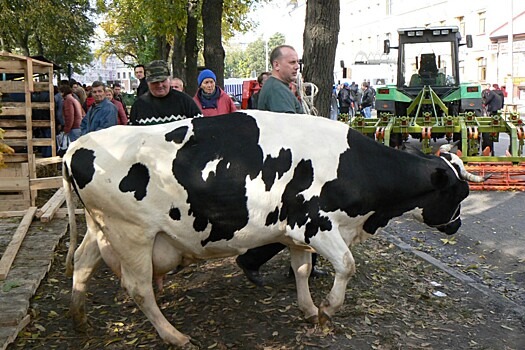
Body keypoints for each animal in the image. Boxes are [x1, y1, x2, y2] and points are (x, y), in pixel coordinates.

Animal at [63, 111, 486, 348]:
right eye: (459, 191)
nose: (456, 225)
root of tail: (77, 145)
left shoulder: (295, 230)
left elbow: (301, 269)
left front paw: (309, 310)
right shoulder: (319, 224)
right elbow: (347, 265)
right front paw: (329, 307)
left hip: (100, 229)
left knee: (82, 262)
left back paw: (79, 318)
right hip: (132, 233)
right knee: (138, 287)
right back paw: (175, 336)